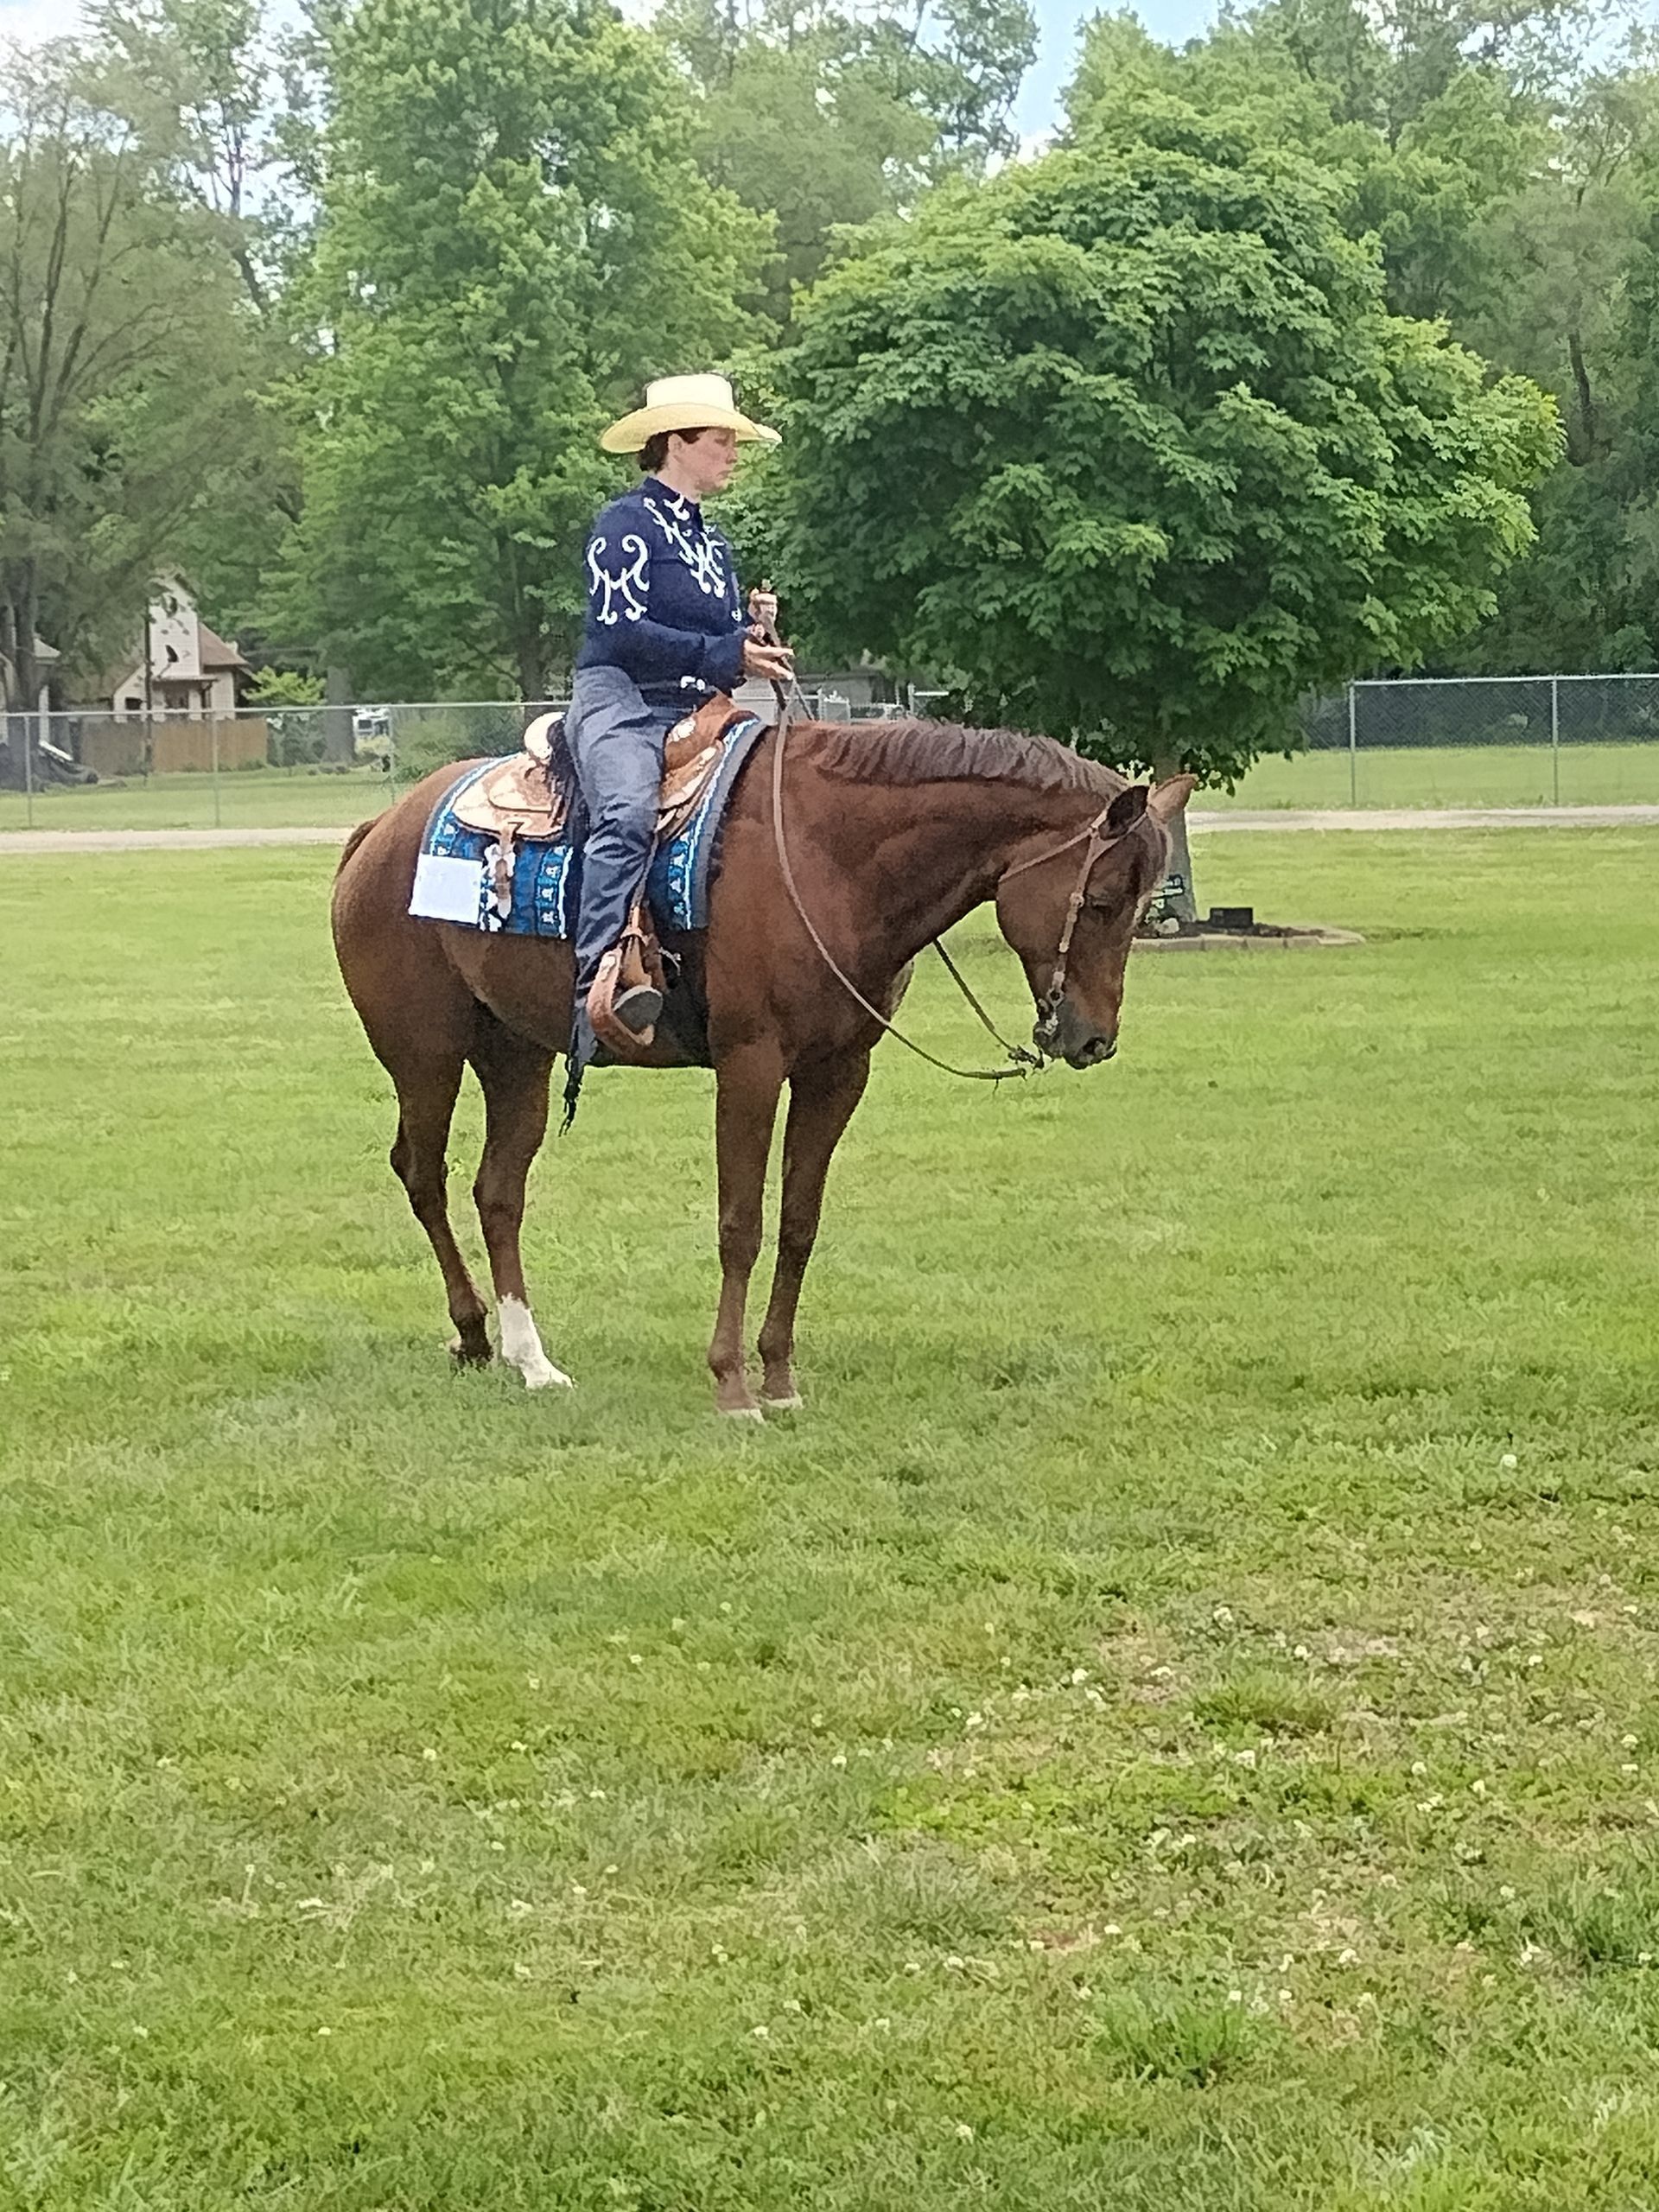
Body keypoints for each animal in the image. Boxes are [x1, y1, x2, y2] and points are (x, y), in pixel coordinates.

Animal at [330, 717, 1195, 1416]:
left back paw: (531, 1359)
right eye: (1102, 900)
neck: (828, 858)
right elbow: (740, 1224)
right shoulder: (751, 1065)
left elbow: (799, 1222)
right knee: (423, 1174)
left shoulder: (838, 1072)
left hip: (517, 1055)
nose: (1093, 1040)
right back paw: (473, 1333)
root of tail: (380, 829)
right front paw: (732, 1384)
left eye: (1139, 901)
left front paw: (779, 1377)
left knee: (498, 1191)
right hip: (426, 1055)